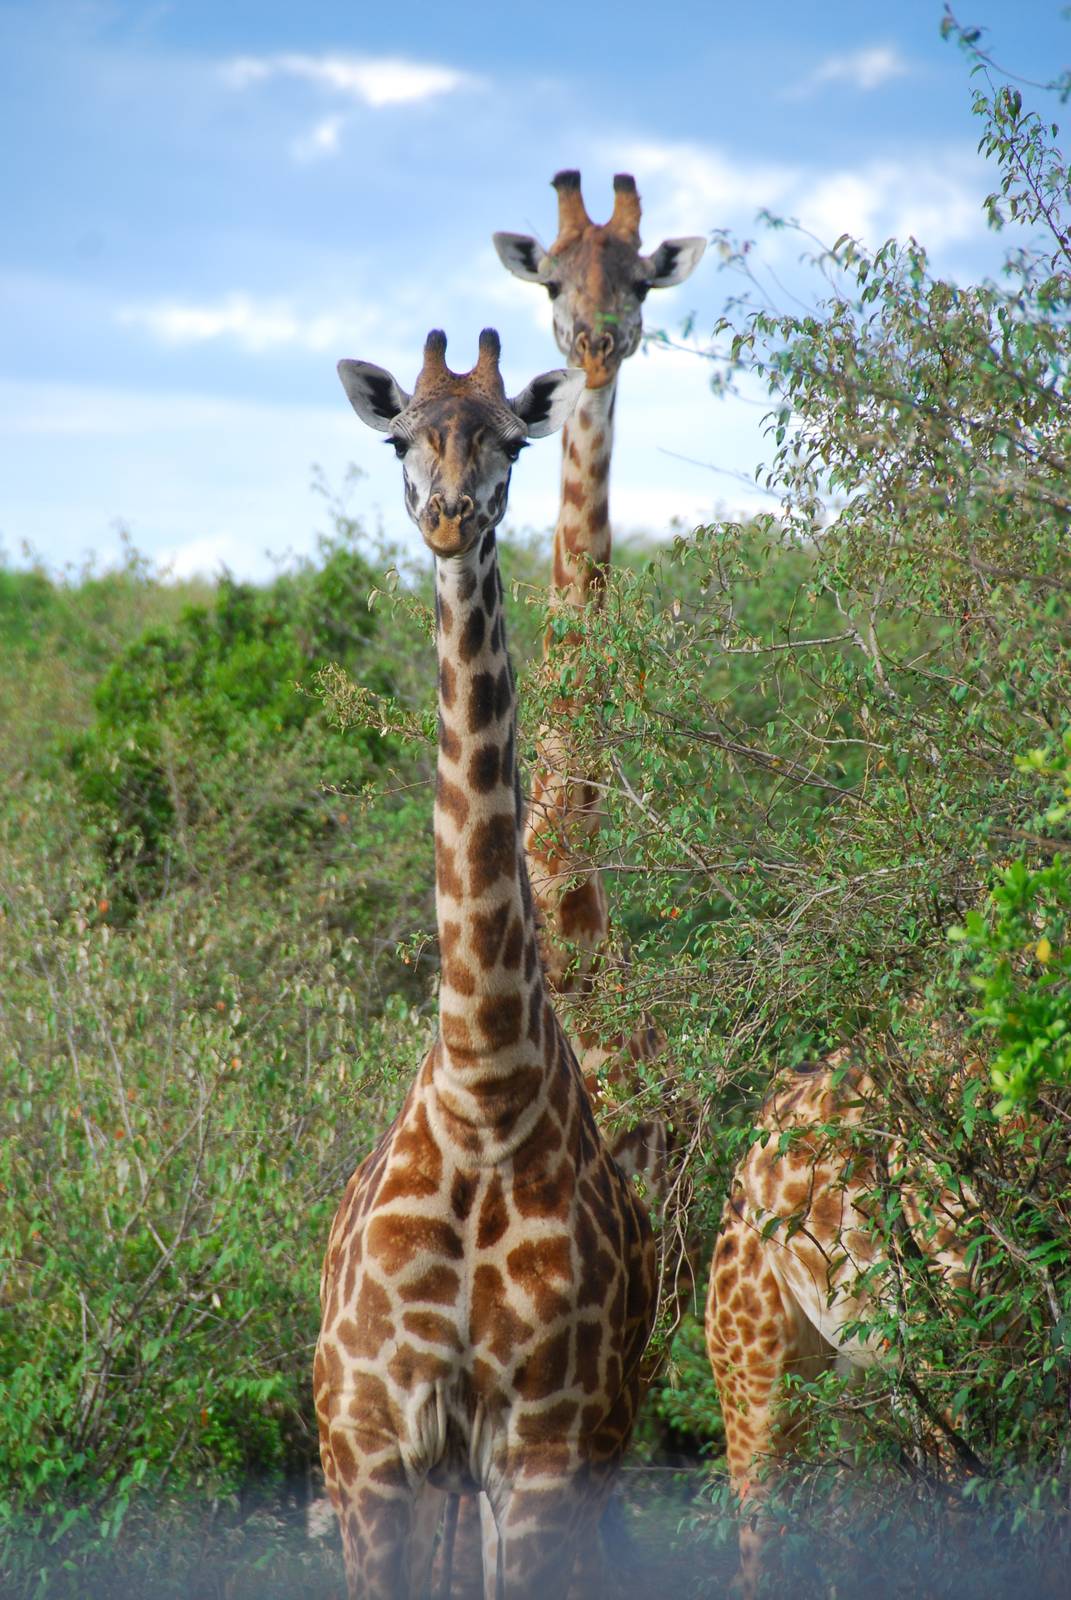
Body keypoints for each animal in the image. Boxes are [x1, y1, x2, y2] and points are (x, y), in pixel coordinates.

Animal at [315, 328, 658, 1600]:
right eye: (402, 438)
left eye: (512, 438)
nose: (452, 517)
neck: (482, 1083)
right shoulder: (376, 1443)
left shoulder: (542, 1443)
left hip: (601, 1438)